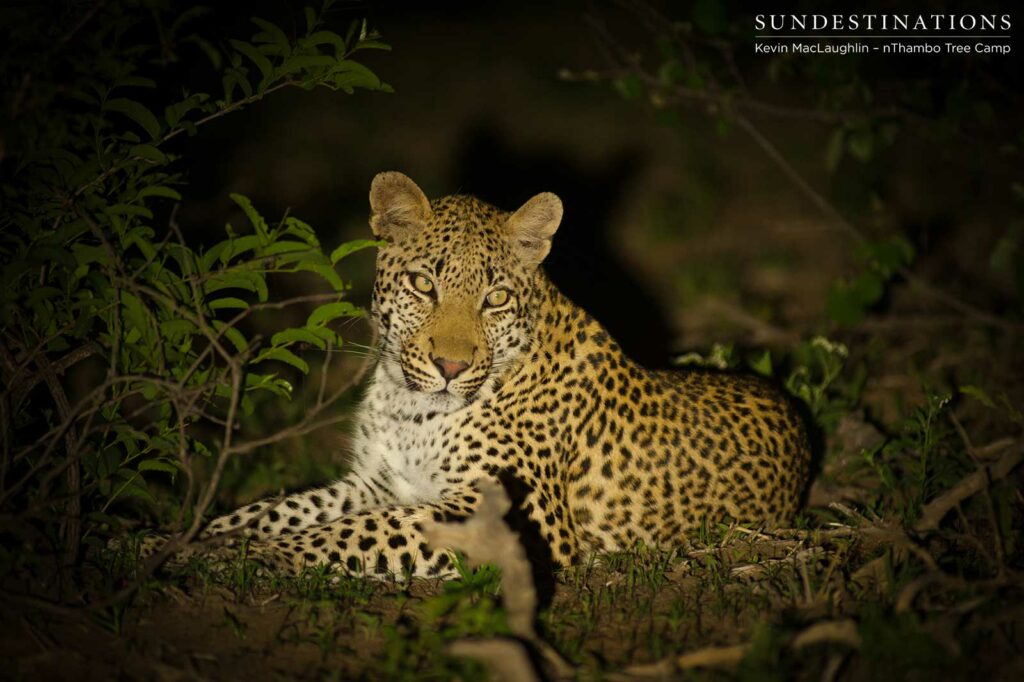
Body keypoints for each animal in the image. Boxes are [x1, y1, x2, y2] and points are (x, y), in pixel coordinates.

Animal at [143, 171, 811, 580]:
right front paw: (173, 540)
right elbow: (281, 508)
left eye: (495, 298)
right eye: (422, 284)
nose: (451, 366)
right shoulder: (378, 481)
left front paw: (251, 559)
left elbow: (353, 532)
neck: (407, 405)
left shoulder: (511, 510)